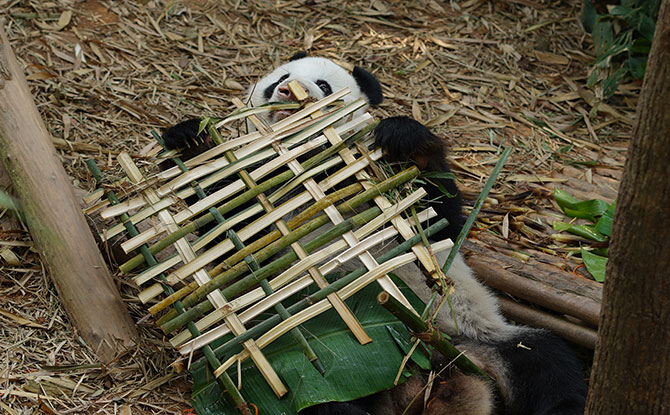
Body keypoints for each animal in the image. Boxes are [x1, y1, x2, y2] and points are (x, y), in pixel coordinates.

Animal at [161, 53, 588, 414]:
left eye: (323, 84)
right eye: (279, 79)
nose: (286, 91)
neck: (305, 169)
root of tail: (429, 364)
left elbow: (440, 221)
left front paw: (404, 139)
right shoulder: (257, 198)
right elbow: (222, 244)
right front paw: (193, 140)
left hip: (478, 333)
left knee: (548, 363)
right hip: (316, 361)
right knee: (318, 398)